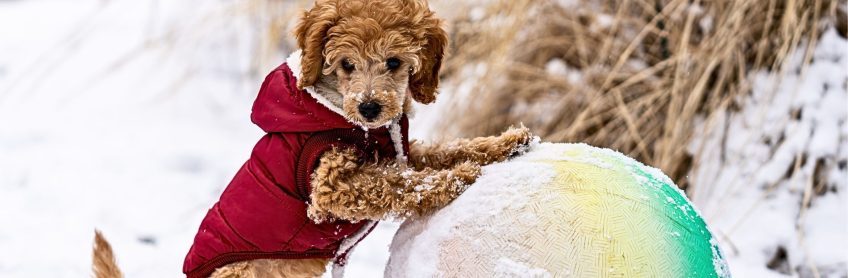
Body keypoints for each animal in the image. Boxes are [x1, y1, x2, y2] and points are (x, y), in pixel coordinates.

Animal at [93, 0, 528, 278]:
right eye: (347, 64)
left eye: (394, 62)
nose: (370, 107)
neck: (346, 116)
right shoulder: (330, 186)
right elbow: (394, 184)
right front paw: (456, 179)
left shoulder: (401, 152)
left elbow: (439, 152)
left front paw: (505, 144)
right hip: (242, 271)